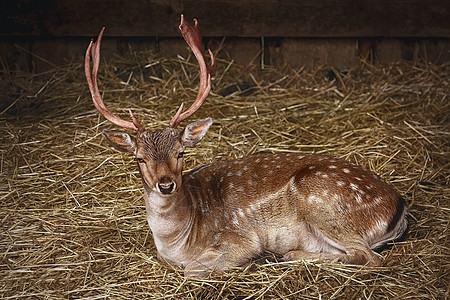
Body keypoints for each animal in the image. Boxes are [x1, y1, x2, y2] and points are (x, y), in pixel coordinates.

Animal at [83, 14, 408, 276]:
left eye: (181, 153)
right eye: (140, 158)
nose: (165, 184)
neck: (177, 241)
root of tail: (399, 207)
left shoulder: (239, 239)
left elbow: (193, 269)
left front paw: (251, 259)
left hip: (322, 201)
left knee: (370, 257)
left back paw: (280, 256)